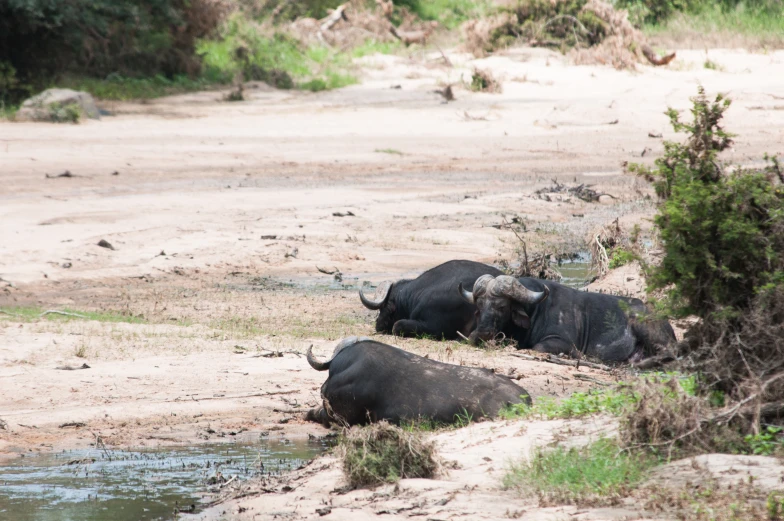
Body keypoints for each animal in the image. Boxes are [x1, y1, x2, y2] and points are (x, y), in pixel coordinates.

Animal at [460, 274, 672, 364]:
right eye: (480, 306)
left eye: (502, 306)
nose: (481, 334)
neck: (537, 310)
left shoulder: (561, 341)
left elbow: (538, 347)